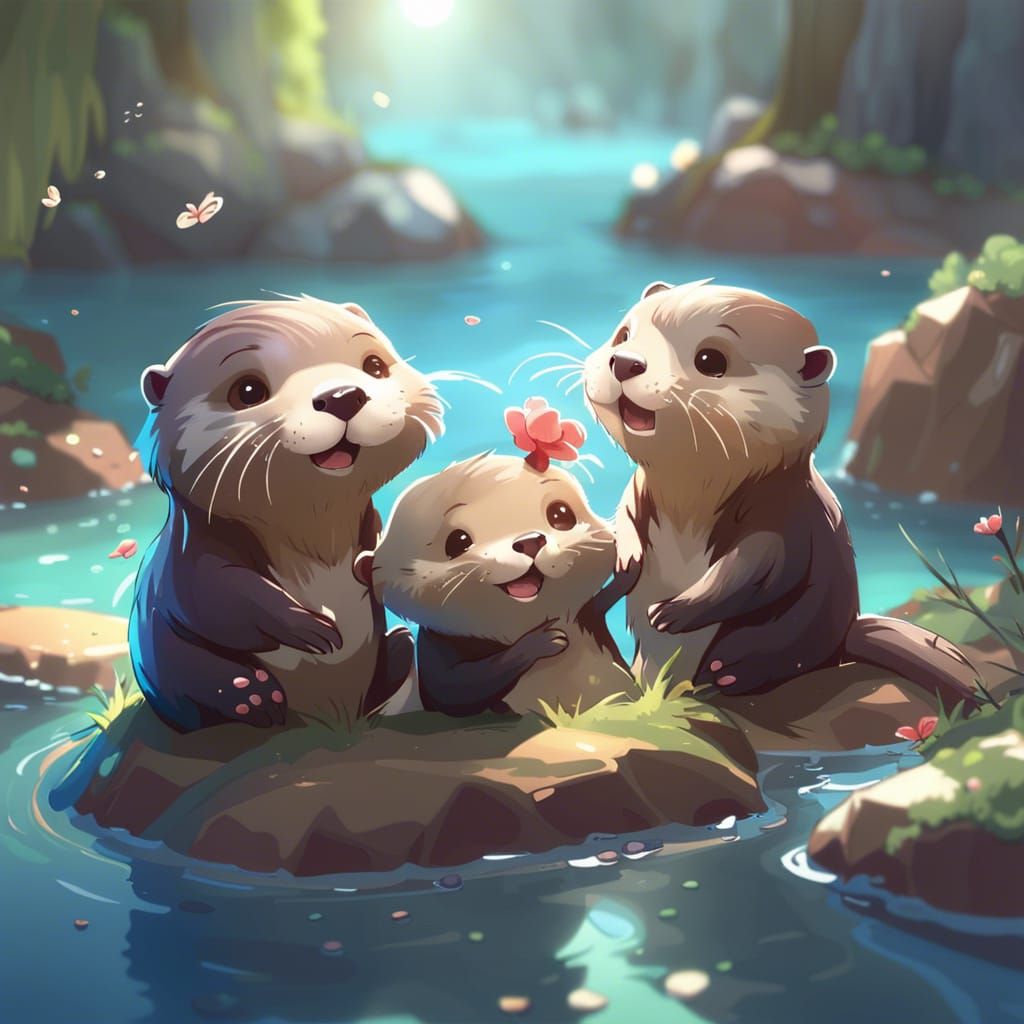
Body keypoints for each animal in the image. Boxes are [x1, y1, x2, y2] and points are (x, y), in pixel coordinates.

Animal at [130, 295, 445, 732]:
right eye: (247, 390)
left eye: (375, 366)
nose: (343, 395)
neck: (317, 538)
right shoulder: (190, 554)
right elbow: (219, 596)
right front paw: (311, 627)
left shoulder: (370, 523)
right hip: (171, 668)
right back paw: (251, 696)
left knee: (399, 645)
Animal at [370, 451, 636, 716]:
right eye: (458, 541)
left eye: (561, 514)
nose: (530, 541)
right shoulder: (437, 642)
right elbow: (455, 689)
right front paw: (541, 641)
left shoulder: (585, 616)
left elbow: (601, 601)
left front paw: (628, 568)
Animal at [581, 279, 980, 710]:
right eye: (624, 334)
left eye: (710, 358)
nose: (625, 362)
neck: (689, 500)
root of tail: (844, 640)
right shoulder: (639, 490)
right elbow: (624, 517)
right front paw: (628, 557)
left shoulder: (782, 515)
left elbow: (757, 568)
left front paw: (673, 611)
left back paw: (725, 671)